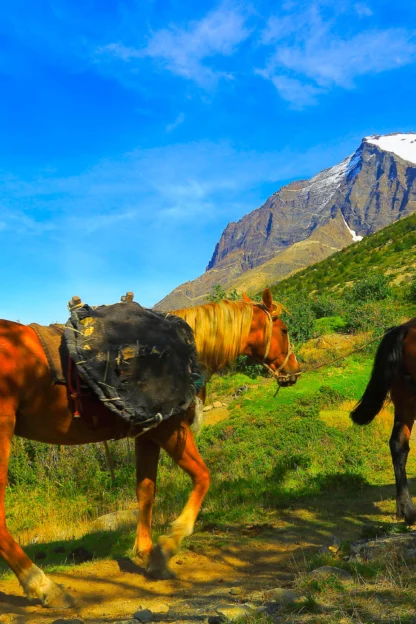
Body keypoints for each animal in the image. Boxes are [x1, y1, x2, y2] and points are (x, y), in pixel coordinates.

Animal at [0, 290, 300, 608]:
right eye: (284, 330)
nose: (294, 370)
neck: (190, 350)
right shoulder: (169, 429)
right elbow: (203, 477)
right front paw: (167, 546)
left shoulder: (146, 435)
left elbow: (146, 491)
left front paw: (145, 552)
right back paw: (41, 584)